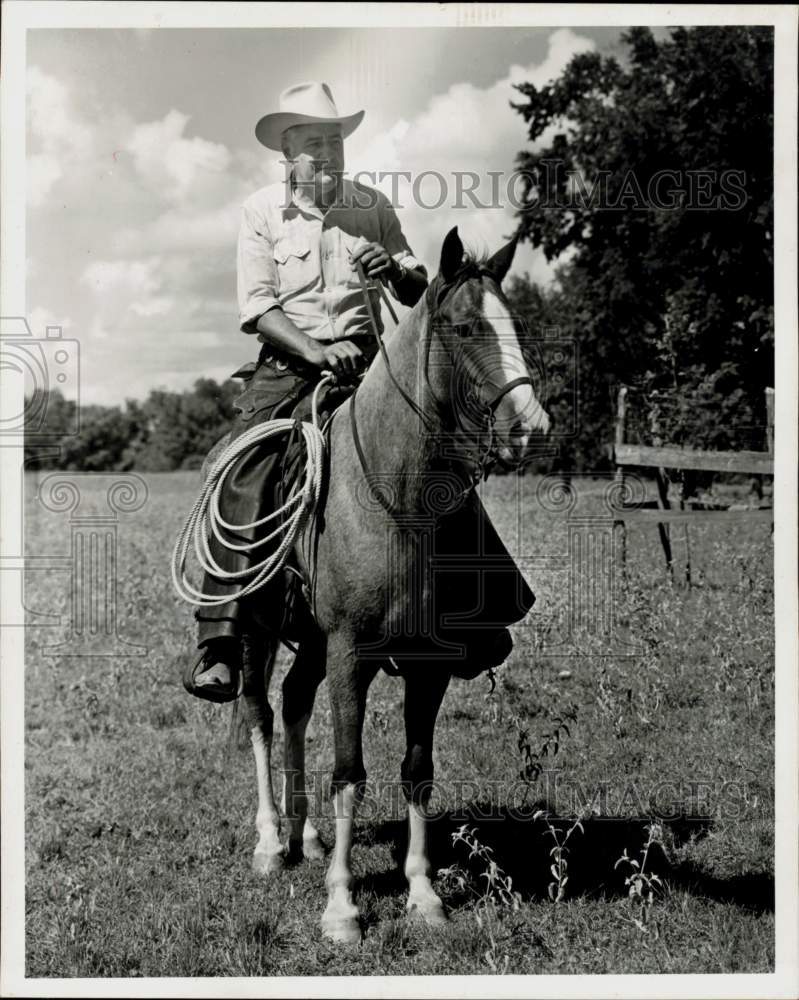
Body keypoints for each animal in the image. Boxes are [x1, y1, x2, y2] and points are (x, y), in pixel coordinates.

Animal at [238, 229, 552, 944]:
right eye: (464, 327)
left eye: (517, 324)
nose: (530, 426)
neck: (396, 499)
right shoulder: (350, 653)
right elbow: (349, 773)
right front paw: (342, 907)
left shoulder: (426, 662)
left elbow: (417, 773)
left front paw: (423, 892)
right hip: (257, 631)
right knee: (260, 715)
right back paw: (271, 842)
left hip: (311, 644)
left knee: (293, 705)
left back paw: (307, 839)